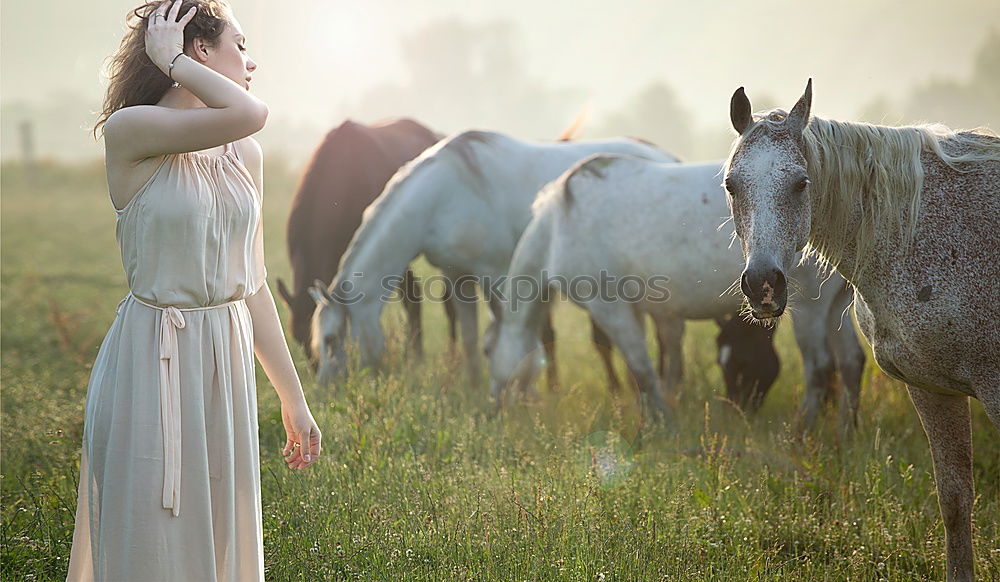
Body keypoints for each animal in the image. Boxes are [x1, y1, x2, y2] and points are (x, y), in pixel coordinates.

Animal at [308, 130, 676, 390]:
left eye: (331, 339)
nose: (325, 389)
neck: (442, 196)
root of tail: (664, 155)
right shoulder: (458, 276)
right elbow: (471, 338)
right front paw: (473, 388)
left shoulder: (497, 275)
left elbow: (513, 335)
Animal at [488, 155, 864, 426]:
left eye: (486, 350)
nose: (493, 410)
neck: (560, 224)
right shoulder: (647, 311)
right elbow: (654, 366)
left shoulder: (609, 307)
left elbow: (641, 367)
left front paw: (661, 423)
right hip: (835, 306)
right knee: (851, 361)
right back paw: (846, 430)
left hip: (812, 307)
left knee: (819, 366)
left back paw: (806, 427)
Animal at [728, 78, 1000, 582]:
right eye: (732, 185)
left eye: (801, 183)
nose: (763, 284)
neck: (916, 235)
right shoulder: (934, 389)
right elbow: (955, 502)